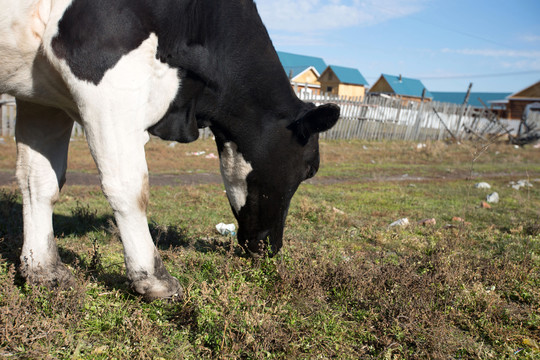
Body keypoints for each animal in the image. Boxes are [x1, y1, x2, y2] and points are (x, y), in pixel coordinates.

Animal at [0, 0, 338, 300]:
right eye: (310, 168)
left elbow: (40, 181)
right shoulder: (102, 71)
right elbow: (129, 187)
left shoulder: (43, 97)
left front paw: (44, 271)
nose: (273, 246)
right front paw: (154, 280)